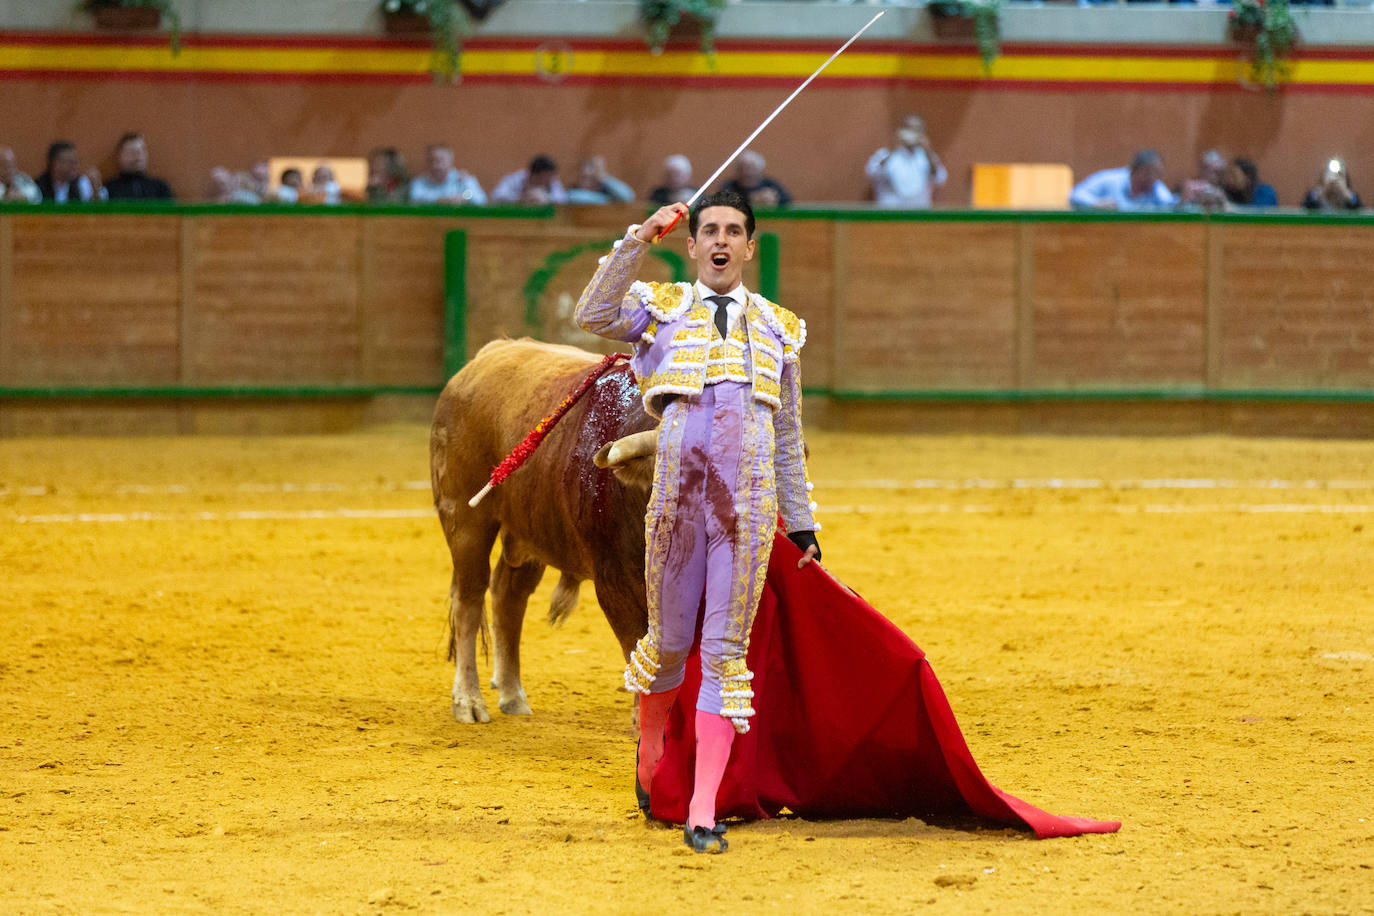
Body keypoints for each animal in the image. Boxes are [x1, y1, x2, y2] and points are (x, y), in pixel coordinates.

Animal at [431, 336, 662, 725]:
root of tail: (489, 354)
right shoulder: (615, 583)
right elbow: (637, 646)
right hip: (465, 521)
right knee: (469, 599)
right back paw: (468, 701)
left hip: (528, 534)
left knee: (508, 595)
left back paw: (512, 694)